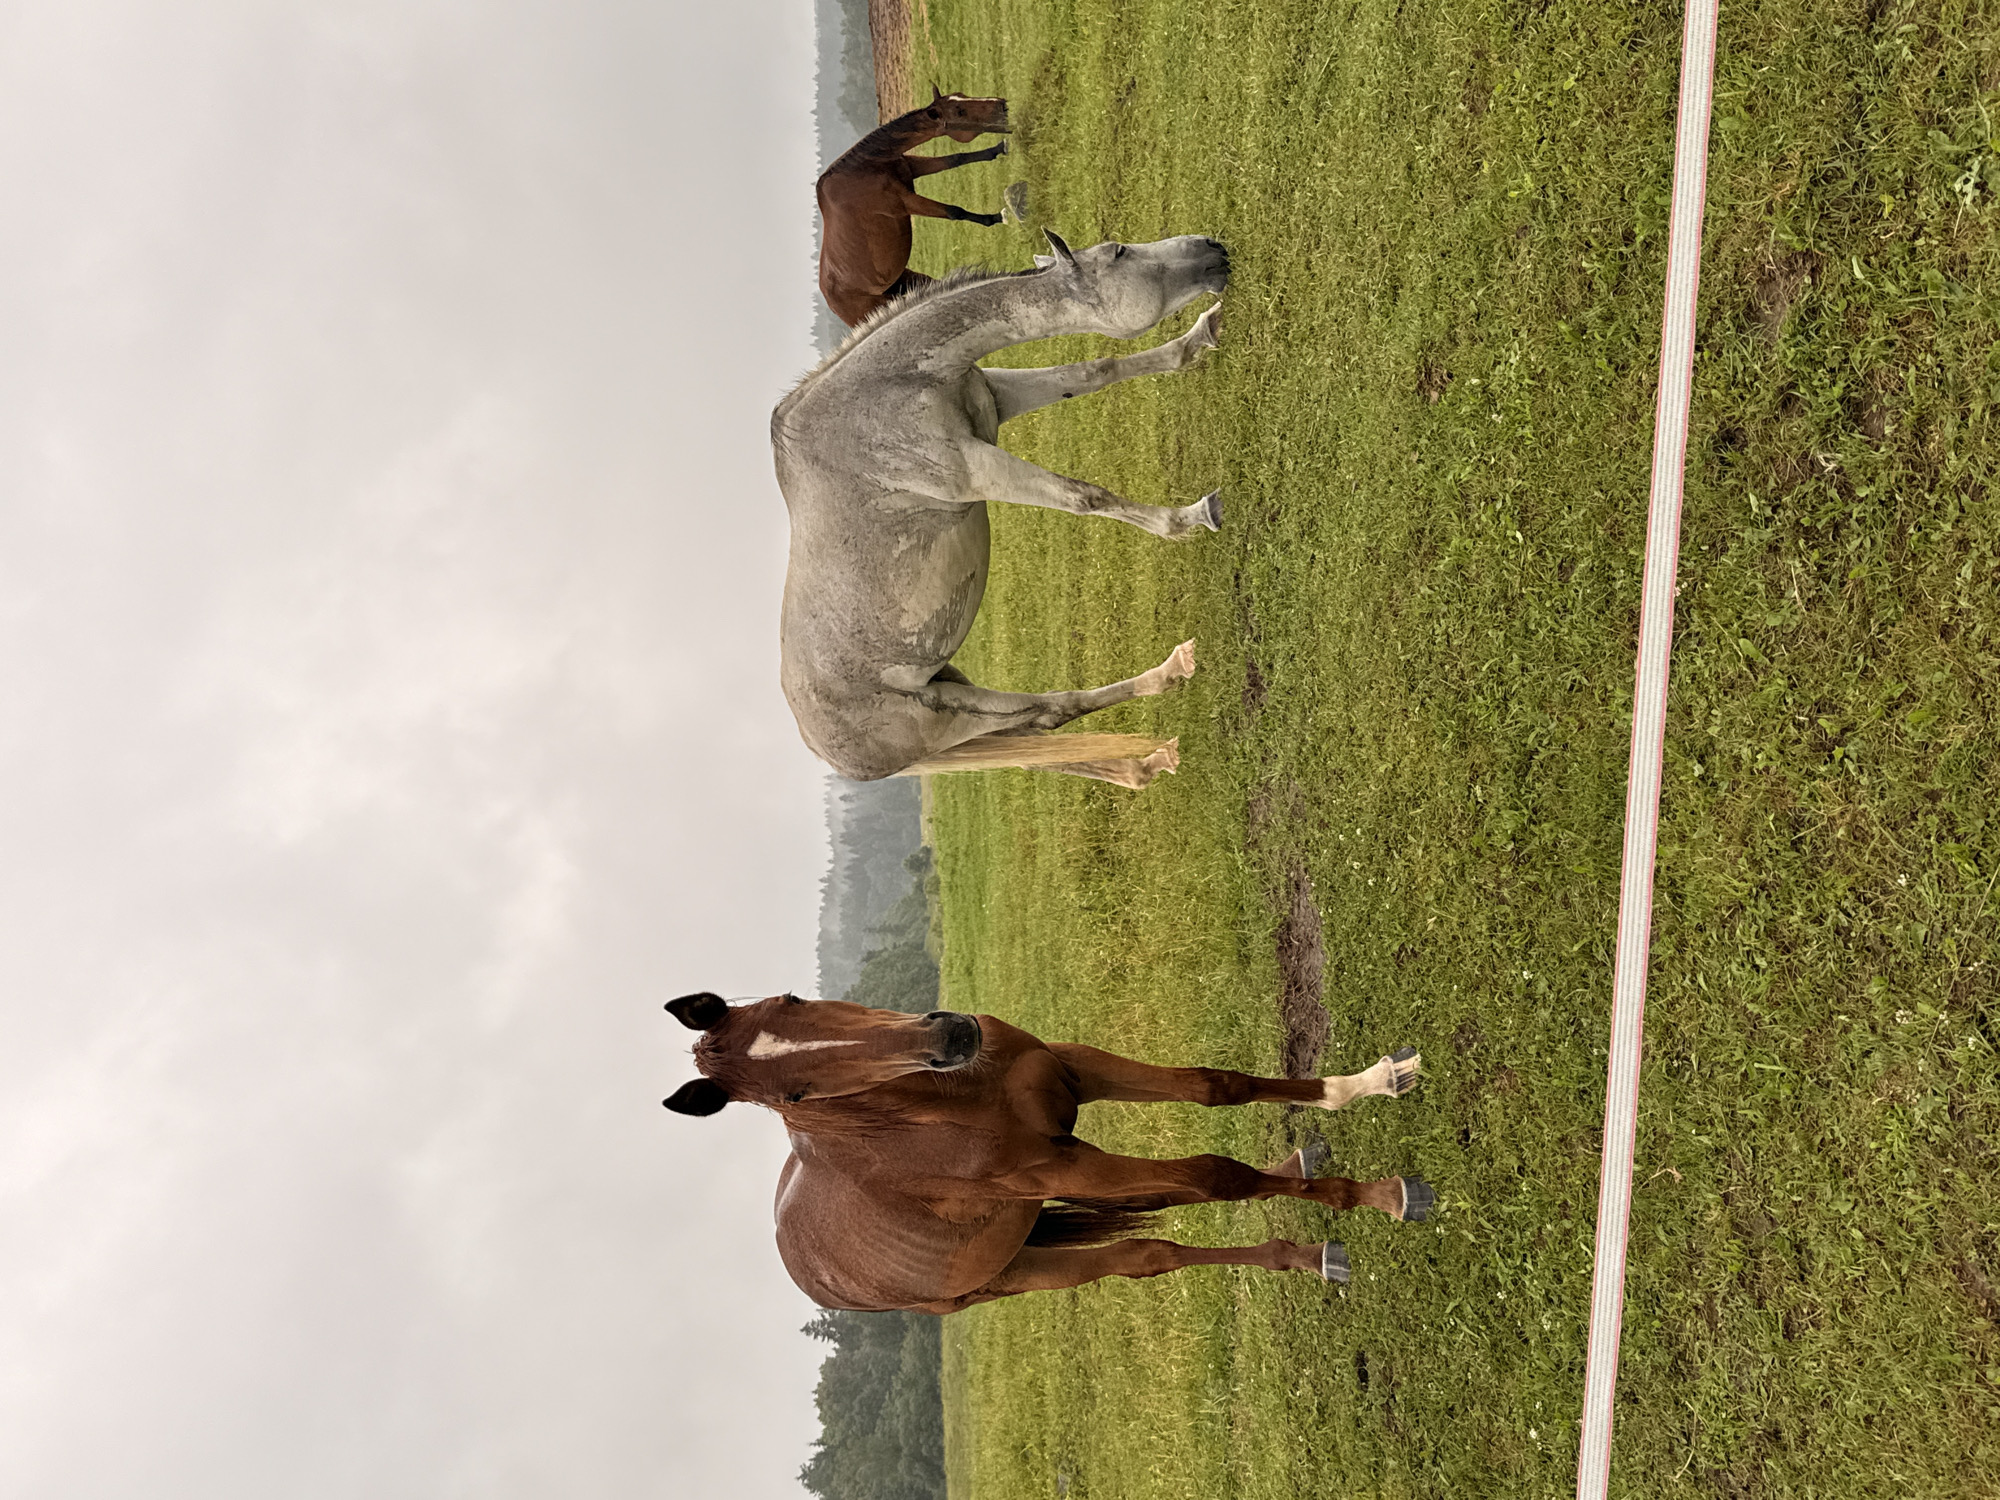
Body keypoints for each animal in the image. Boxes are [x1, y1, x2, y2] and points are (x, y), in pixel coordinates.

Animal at [661, 992, 1431, 1314]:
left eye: (792, 998)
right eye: (795, 1092)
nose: (950, 1036)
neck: (955, 1100)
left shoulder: (1072, 1070)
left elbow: (1217, 1088)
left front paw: (1366, 1083)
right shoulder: (1059, 1164)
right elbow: (1217, 1178)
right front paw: (1379, 1195)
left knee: (1159, 1218)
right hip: (1015, 1275)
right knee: (1146, 1254)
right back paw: (1311, 1246)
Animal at [772, 230, 1231, 791]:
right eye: (1121, 252)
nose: (1213, 248)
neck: (879, 394)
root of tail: (824, 749)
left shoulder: (998, 395)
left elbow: (1095, 370)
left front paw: (1199, 336)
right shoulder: (977, 468)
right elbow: (1085, 497)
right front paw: (1189, 518)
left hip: (961, 702)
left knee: (1043, 745)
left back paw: (1148, 761)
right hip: (956, 714)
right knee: (1052, 710)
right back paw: (1169, 673)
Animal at [817, 89, 1011, 328]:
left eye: (961, 95)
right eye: (960, 111)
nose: (1001, 105)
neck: (864, 169)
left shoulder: (913, 167)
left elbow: (956, 158)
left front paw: (998, 148)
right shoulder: (904, 202)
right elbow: (954, 212)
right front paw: (996, 217)